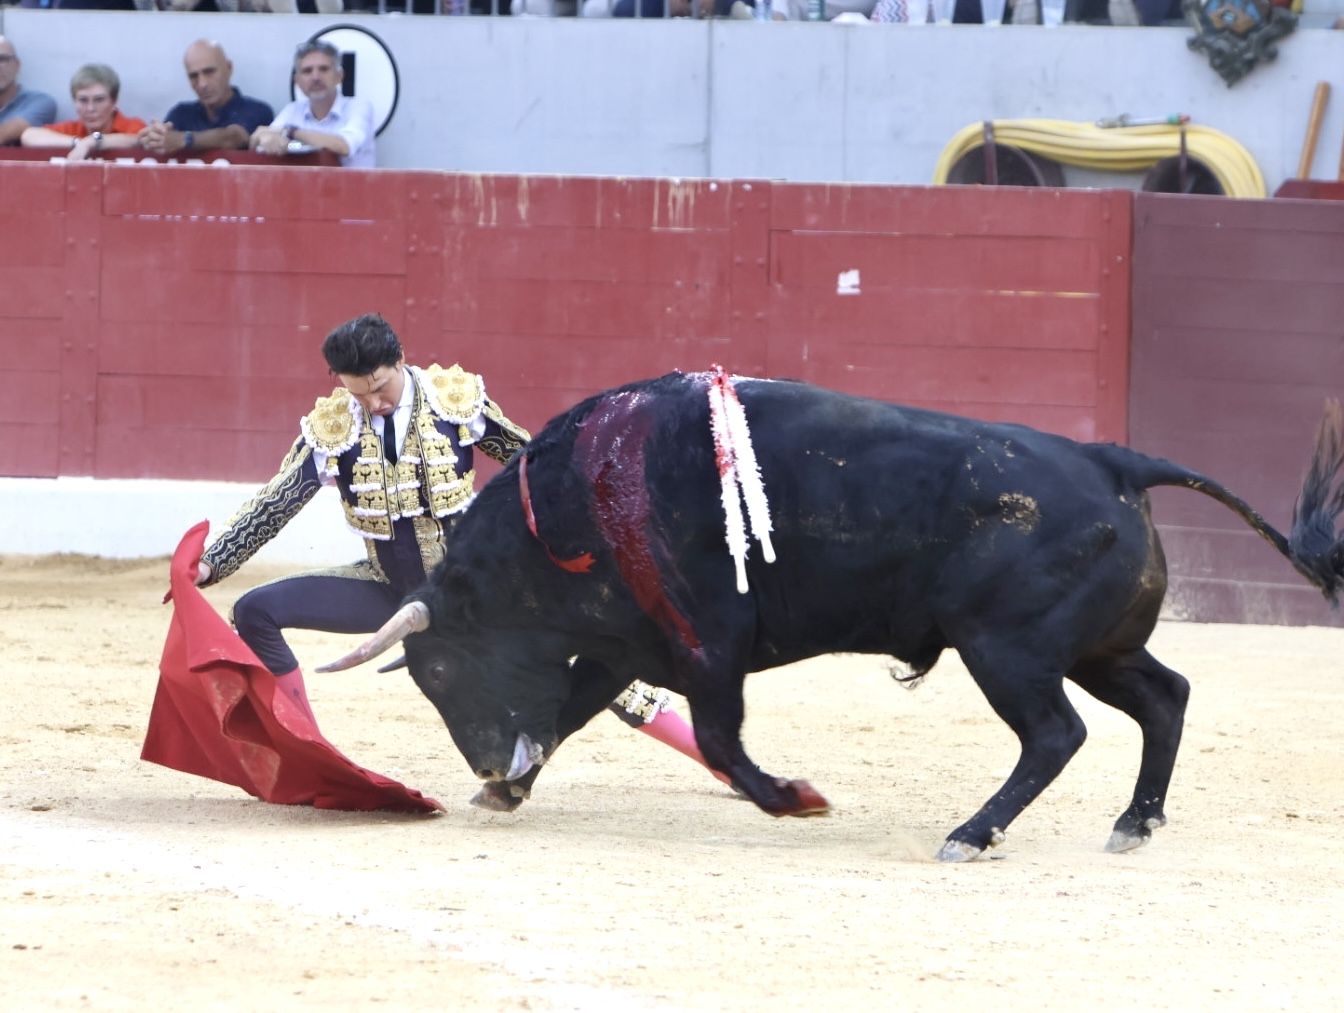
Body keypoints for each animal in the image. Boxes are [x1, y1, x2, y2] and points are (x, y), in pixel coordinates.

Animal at [317, 370, 1344, 859]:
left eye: (440, 670)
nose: (488, 762)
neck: (579, 500)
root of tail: (1112, 459)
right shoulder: (624, 643)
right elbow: (572, 711)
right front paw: (511, 792)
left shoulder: (709, 645)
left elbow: (721, 741)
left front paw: (794, 798)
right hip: (1096, 645)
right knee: (1165, 696)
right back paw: (1134, 822)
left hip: (1007, 649)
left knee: (1057, 733)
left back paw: (972, 833)